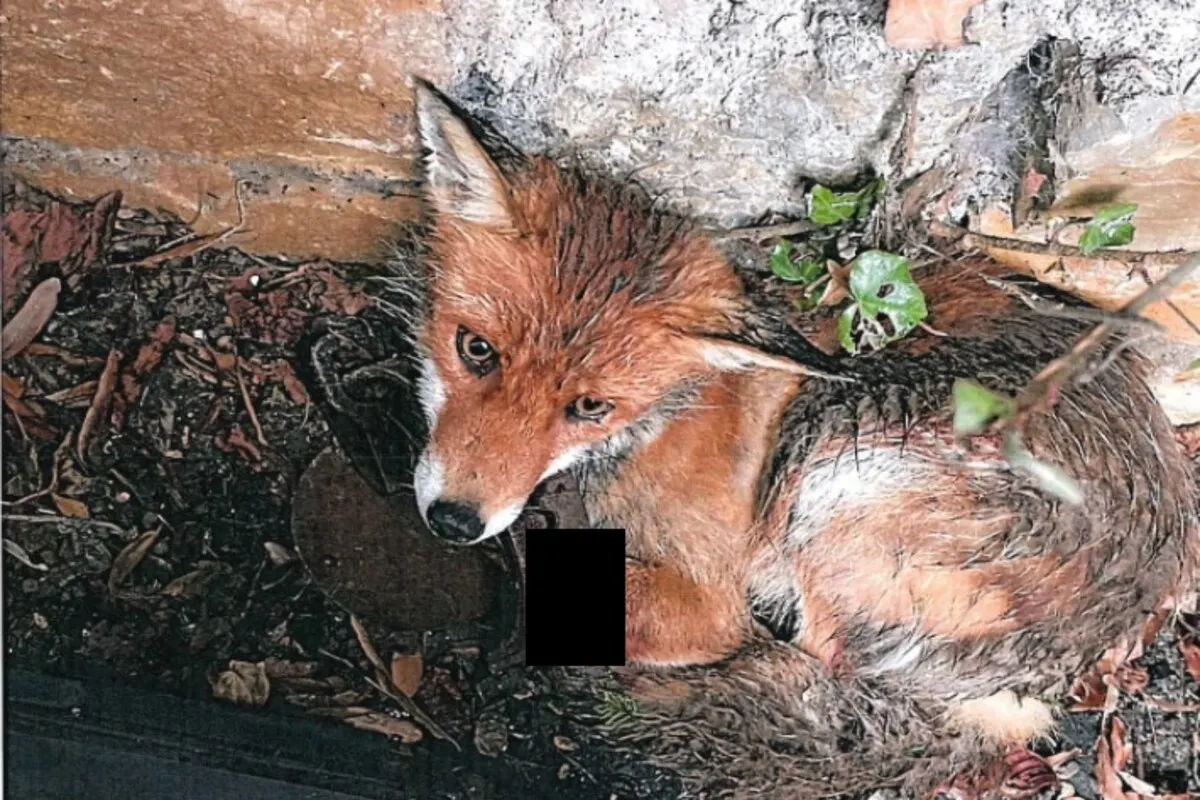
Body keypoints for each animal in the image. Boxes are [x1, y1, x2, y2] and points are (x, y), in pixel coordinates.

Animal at [387, 79, 1199, 796]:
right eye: (474, 350)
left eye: (590, 406)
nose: (455, 520)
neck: (658, 424)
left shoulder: (710, 589)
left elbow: (660, 616)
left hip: (831, 470)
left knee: (813, 662)